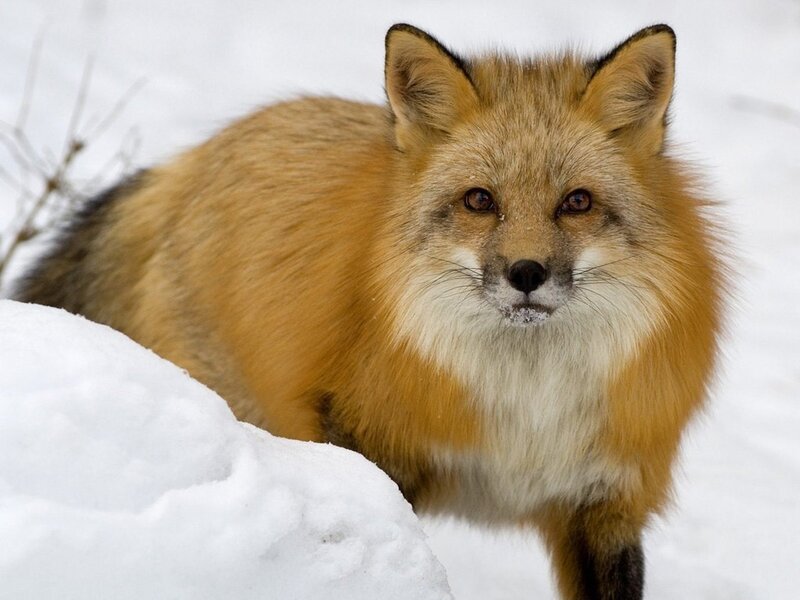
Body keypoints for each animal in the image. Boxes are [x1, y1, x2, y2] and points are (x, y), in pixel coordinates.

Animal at [13, 23, 725, 599]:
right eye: (479, 200)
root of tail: (191, 160)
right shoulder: (369, 445)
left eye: (576, 202)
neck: (525, 409)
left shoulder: (603, 502)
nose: (526, 274)